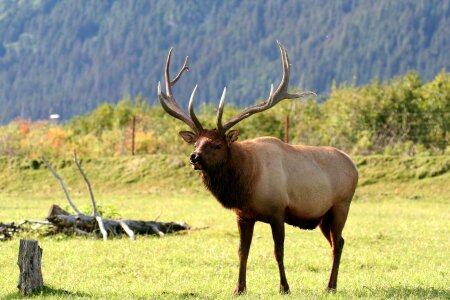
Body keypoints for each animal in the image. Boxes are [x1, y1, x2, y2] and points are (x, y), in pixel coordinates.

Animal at [157, 42, 358, 296]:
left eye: (217, 144)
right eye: (196, 143)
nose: (194, 157)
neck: (247, 183)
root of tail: (353, 164)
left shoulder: (278, 211)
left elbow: (278, 252)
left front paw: (284, 287)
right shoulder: (243, 216)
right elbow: (242, 252)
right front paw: (238, 288)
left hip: (341, 206)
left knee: (337, 244)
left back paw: (330, 286)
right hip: (323, 217)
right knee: (338, 241)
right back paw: (331, 284)